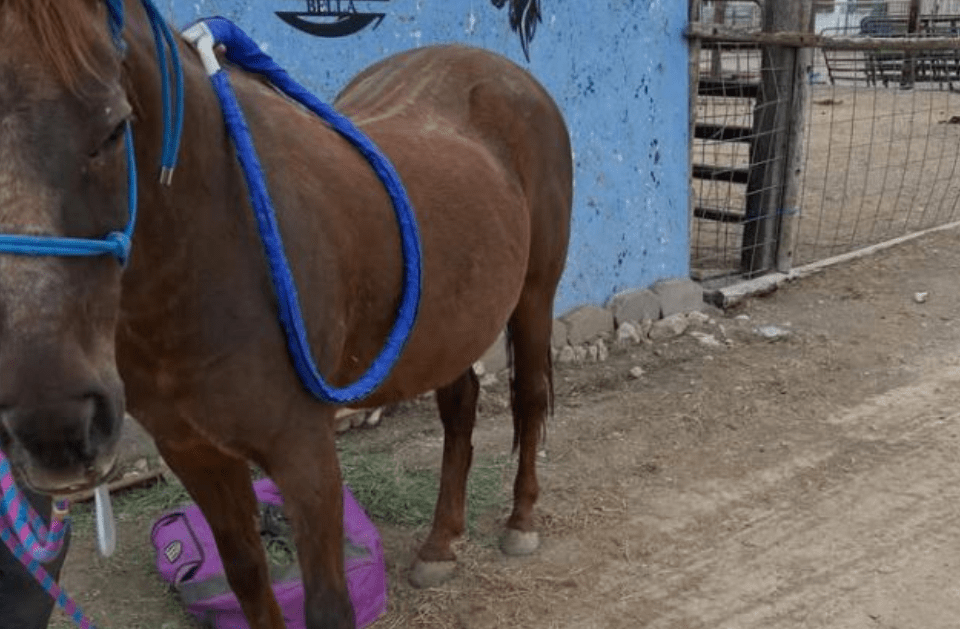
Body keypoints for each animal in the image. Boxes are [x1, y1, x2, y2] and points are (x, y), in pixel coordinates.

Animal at [0, 1, 572, 627]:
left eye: (114, 128)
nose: (54, 428)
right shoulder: (193, 453)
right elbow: (248, 577)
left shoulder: (305, 456)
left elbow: (327, 604)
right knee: (460, 409)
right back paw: (440, 544)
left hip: (534, 295)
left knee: (528, 397)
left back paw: (521, 520)